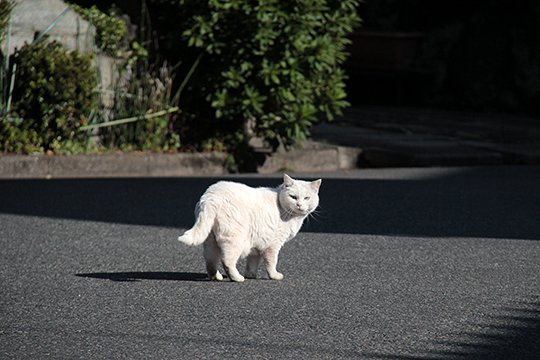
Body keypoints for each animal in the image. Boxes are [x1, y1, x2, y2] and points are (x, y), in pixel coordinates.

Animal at [177, 174, 320, 282]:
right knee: (226, 261)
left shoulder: (257, 245)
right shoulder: (273, 245)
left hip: (211, 241)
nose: (299, 204)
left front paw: (251, 275)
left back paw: (217, 277)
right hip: (235, 240)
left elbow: (252, 262)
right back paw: (237, 278)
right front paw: (274, 276)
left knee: (210, 261)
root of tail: (210, 196)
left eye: (307, 198)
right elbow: (271, 262)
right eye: (293, 197)